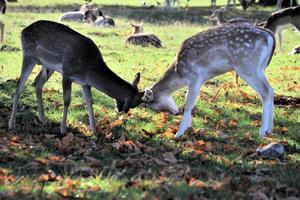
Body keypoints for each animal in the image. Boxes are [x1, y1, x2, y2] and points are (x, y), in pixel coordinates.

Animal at [8, 20, 145, 134]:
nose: (121, 110)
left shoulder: (85, 83)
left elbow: (89, 101)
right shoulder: (67, 72)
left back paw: (43, 119)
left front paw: (94, 129)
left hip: (48, 66)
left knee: (37, 83)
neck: (89, 69)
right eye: (137, 102)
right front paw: (63, 129)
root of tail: (23, 30)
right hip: (29, 55)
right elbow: (67, 100)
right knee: (19, 86)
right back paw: (12, 124)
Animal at [142, 21, 276, 138]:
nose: (174, 112)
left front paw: (179, 133)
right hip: (260, 68)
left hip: (248, 67)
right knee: (271, 90)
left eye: (152, 104)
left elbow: (188, 103)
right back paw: (269, 130)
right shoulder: (201, 79)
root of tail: (269, 36)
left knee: (266, 91)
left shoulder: (195, 76)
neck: (180, 73)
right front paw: (188, 127)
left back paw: (262, 132)